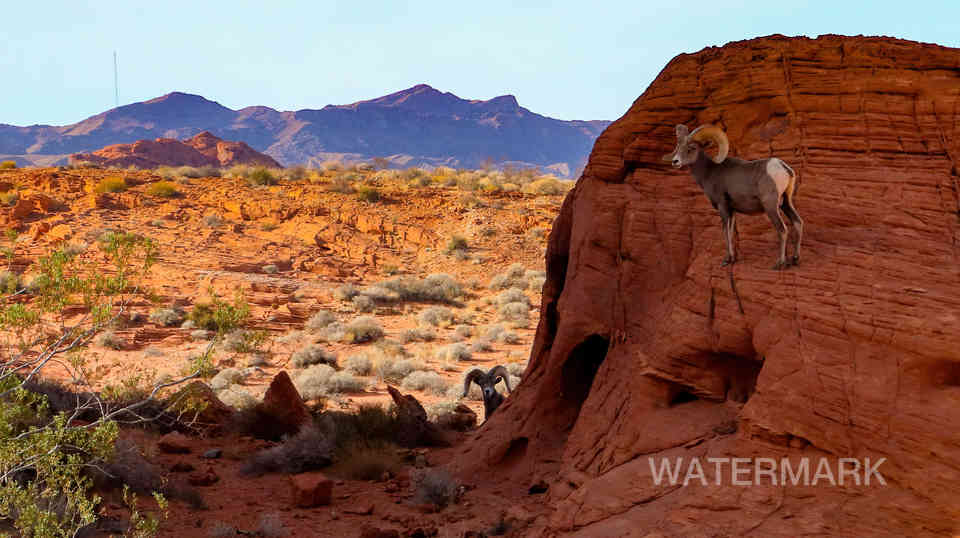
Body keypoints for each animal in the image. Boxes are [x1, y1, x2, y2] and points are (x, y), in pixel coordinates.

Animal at [662, 124, 803, 270]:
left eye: (691, 148)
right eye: (678, 147)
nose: (675, 161)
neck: (709, 172)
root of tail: (783, 167)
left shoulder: (722, 206)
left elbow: (725, 232)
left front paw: (727, 260)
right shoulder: (732, 211)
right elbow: (730, 232)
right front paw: (733, 258)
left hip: (771, 206)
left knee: (782, 229)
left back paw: (779, 263)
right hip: (786, 203)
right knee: (798, 223)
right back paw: (795, 259)